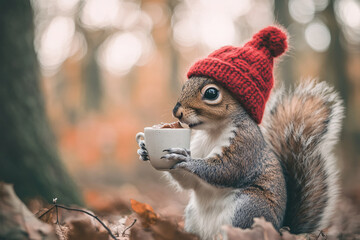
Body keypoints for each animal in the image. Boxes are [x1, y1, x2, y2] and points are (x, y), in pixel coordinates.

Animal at [136, 25, 344, 239]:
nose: (176, 111)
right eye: (185, 85)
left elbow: (227, 169)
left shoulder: (246, 144)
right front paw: (143, 149)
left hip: (248, 208)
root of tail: (280, 230)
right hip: (194, 215)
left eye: (211, 93)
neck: (212, 131)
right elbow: (189, 183)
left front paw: (184, 157)